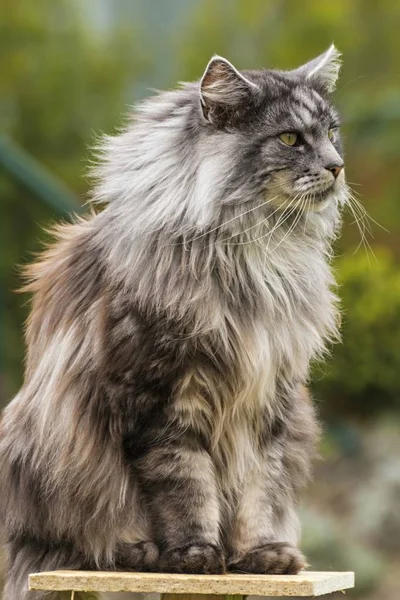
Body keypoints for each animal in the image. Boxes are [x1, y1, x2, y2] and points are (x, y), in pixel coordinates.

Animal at [0, 43, 346, 600]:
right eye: (291, 139)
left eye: (333, 133)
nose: (337, 167)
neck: (253, 257)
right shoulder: (159, 401)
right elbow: (186, 486)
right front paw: (195, 557)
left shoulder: (270, 401)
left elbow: (259, 490)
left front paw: (259, 557)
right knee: (84, 542)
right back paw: (136, 552)